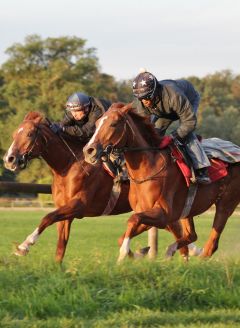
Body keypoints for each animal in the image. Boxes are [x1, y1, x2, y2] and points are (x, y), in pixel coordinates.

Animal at [3, 111, 191, 262]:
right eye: (13, 134)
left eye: (29, 134)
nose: (9, 159)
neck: (69, 165)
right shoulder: (66, 212)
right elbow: (60, 246)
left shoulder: (78, 205)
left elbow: (47, 217)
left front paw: (24, 246)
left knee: (176, 229)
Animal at [83, 102, 240, 262]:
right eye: (97, 123)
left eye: (113, 123)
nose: (89, 151)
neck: (149, 168)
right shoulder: (152, 214)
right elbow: (126, 232)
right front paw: (136, 253)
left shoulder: (164, 214)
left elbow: (133, 219)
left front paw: (123, 255)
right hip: (187, 210)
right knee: (191, 235)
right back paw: (175, 251)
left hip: (226, 203)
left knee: (211, 245)